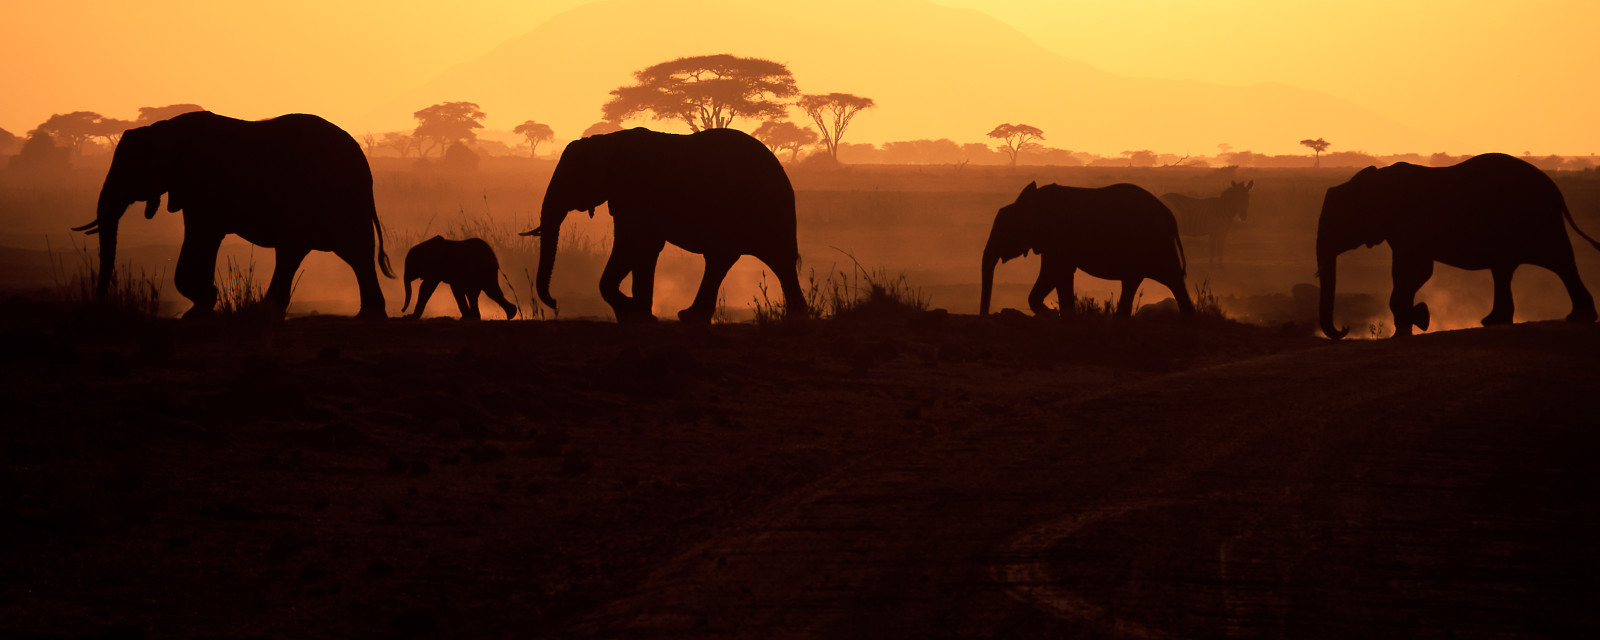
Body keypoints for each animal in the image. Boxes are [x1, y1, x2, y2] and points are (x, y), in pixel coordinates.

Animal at [72, 112, 393, 320]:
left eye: (130, 170)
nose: (101, 304)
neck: (162, 130)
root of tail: (364, 166)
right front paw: (201, 306)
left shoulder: (203, 184)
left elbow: (202, 235)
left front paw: (200, 307)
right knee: (311, 252)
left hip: (336, 199)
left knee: (344, 250)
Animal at [518, 126, 806, 324]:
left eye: (568, 181)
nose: (555, 303)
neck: (607, 141)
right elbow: (645, 249)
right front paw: (640, 314)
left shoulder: (635, 191)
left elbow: (632, 244)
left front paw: (633, 312)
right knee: (745, 260)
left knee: (762, 258)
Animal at [979, 181, 1196, 318]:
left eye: (1004, 230)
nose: (985, 316)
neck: (1032, 201)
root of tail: (1171, 218)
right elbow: (1062, 275)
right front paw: (1064, 315)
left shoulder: (1057, 236)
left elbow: (1054, 272)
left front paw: (1053, 314)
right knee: (1143, 280)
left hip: (1154, 242)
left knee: (1169, 277)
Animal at [1312, 152, 1600, 339]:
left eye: (1338, 223)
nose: (1345, 328)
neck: (1373, 182)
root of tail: (1554, 188)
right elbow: (1412, 273)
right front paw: (1415, 320)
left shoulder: (1410, 224)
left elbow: (1413, 272)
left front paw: (1416, 321)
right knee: (1505, 270)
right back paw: (1494, 322)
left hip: (1539, 221)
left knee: (1560, 262)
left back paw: (1579, 317)